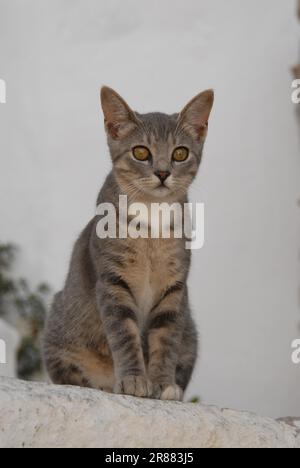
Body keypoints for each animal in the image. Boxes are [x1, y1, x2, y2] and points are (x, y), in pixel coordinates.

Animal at [43, 86, 214, 400]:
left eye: (180, 153)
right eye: (141, 152)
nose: (163, 172)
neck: (152, 225)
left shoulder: (174, 289)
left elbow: (165, 338)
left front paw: (161, 383)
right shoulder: (113, 281)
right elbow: (125, 335)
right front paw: (134, 379)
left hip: (191, 335)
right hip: (61, 332)